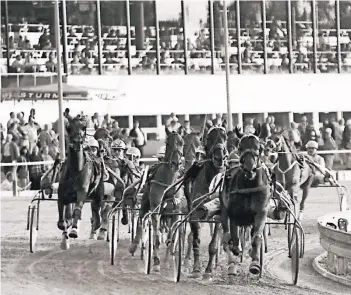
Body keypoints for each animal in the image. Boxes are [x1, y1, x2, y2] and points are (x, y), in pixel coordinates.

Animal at [57, 118, 104, 250]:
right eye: (68, 127)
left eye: (84, 127)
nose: (78, 142)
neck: (76, 170)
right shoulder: (62, 195)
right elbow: (62, 219)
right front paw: (64, 239)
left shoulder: (82, 192)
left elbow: (77, 210)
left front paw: (73, 231)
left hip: (98, 193)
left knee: (97, 209)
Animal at [129, 132, 184, 272]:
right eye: (168, 143)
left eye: (182, 142)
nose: (176, 163)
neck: (168, 183)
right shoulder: (155, 207)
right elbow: (156, 236)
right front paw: (156, 261)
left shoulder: (175, 211)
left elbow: (171, 237)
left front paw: (167, 261)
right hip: (144, 202)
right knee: (141, 219)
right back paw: (134, 246)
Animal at [184, 126, 228, 280]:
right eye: (209, 137)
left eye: (225, 137)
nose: (219, 157)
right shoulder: (194, 213)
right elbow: (195, 240)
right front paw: (196, 269)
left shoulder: (218, 215)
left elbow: (213, 244)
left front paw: (208, 271)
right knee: (191, 236)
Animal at [221, 125, 274, 278]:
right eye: (240, 147)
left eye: (259, 147)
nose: (249, 168)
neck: (249, 185)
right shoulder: (233, 212)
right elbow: (233, 236)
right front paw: (235, 251)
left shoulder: (261, 211)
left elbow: (256, 238)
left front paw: (255, 263)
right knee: (227, 230)